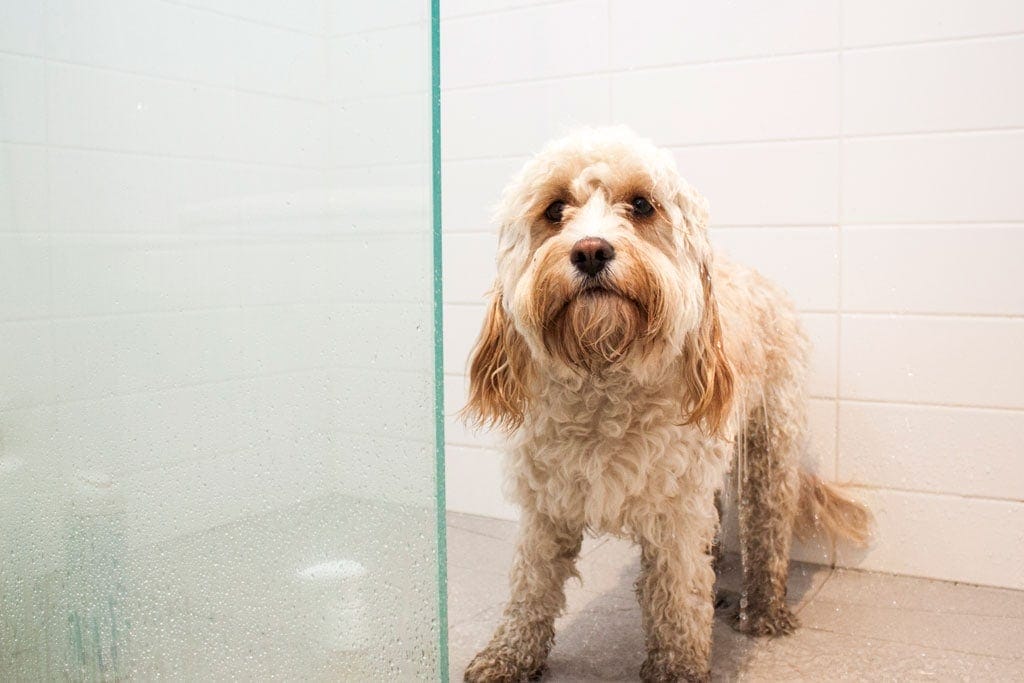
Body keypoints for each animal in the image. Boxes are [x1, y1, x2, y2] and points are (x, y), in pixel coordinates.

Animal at [460, 127, 868, 683]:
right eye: (555, 209)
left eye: (641, 205)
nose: (591, 251)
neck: (604, 379)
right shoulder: (547, 507)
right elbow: (530, 586)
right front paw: (508, 655)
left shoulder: (676, 515)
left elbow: (677, 597)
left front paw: (677, 666)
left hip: (769, 450)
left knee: (767, 530)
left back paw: (764, 608)